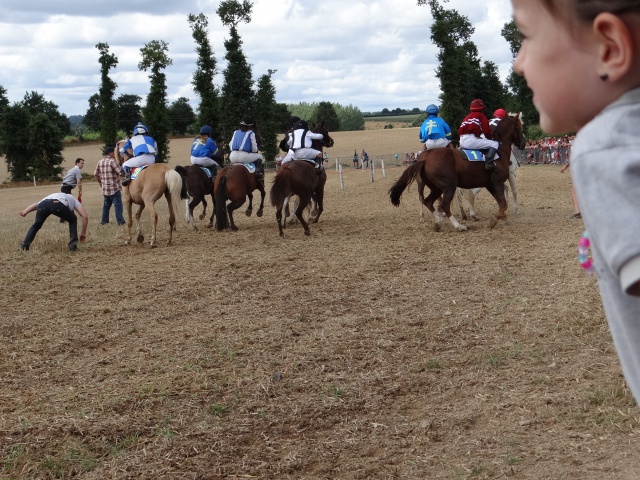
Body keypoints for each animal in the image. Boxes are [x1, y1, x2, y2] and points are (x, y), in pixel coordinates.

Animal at [388, 114, 524, 231]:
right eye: (520, 126)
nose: (523, 143)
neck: (499, 151)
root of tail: (426, 158)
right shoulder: (497, 182)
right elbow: (503, 203)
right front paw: (494, 220)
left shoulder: (490, 184)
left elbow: (501, 202)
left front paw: (503, 218)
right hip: (449, 186)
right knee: (444, 204)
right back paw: (458, 225)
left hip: (436, 188)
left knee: (427, 201)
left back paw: (438, 222)